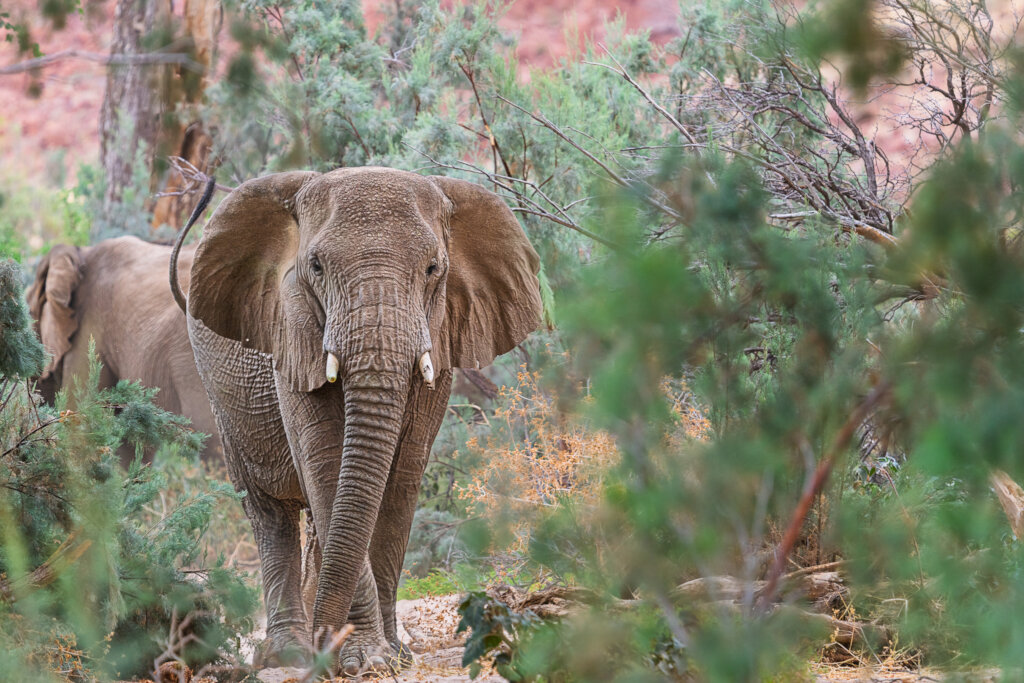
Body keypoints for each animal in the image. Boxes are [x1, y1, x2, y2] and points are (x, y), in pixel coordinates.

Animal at [170, 167, 542, 675]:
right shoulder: (293, 338)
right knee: (270, 513)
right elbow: (328, 466)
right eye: (316, 267)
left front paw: (392, 655)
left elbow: (400, 480)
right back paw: (290, 651)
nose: (324, 650)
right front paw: (365, 659)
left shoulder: (441, 338)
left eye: (433, 269)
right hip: (222, 399)